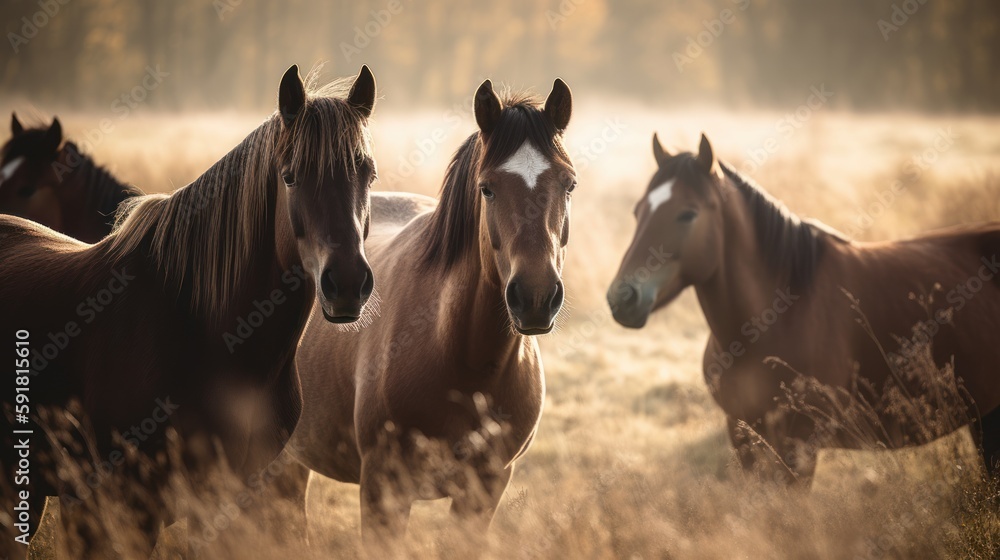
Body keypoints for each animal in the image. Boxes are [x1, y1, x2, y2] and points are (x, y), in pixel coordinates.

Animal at [286, 79, 576, 552]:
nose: (535, 295)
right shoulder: (382, 488)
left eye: (569, 184)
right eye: (487, 187)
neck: (462, 358)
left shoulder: (485, 488)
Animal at [604, 133, 1000, 480]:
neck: (776, 316)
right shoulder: (744, 435)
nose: (622, 298)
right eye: (638, 211)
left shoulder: (799, 444)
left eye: (688, 214)